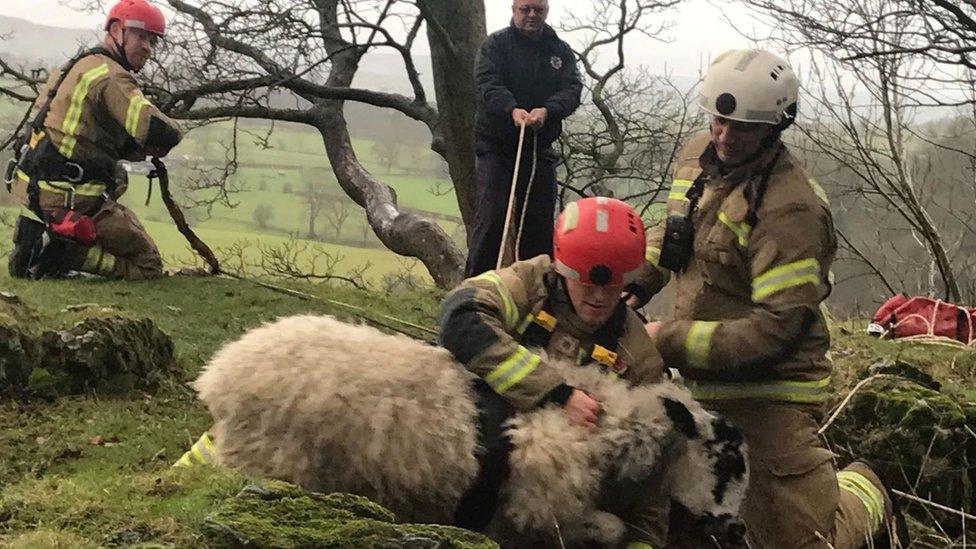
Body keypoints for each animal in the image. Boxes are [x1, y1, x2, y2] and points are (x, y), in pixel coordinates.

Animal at [196, 314, 748, 544]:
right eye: (725, 461)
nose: (735, 528)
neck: (610, 425)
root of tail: (220, 372)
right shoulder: (534, 511)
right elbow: (609, 530)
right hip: (267, 459)